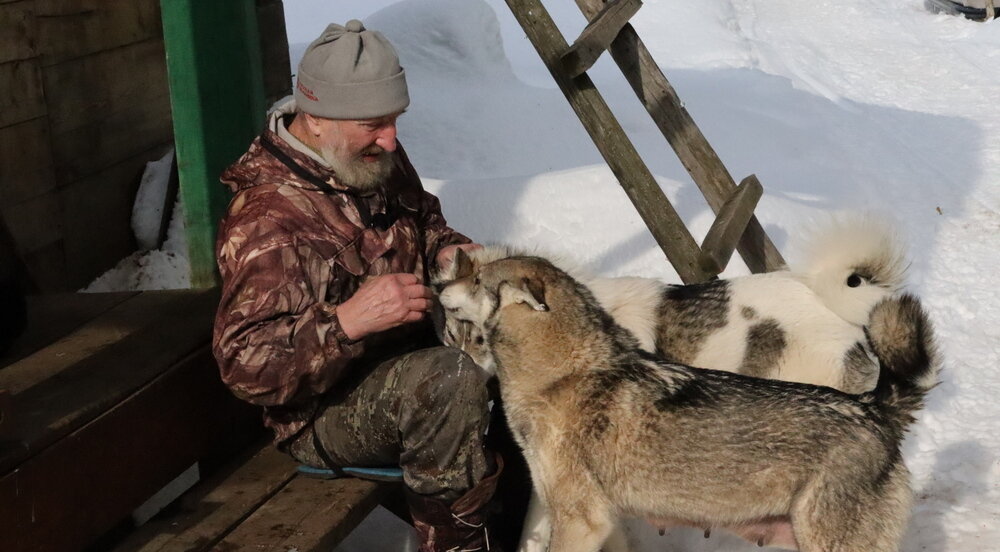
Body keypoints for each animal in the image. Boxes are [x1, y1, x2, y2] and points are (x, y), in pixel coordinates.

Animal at [438, 256, 936, 552]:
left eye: (476, 280)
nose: (438, 283)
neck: (563, 374)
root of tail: (874, 408)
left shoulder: (580, 520)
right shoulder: (602, 521)